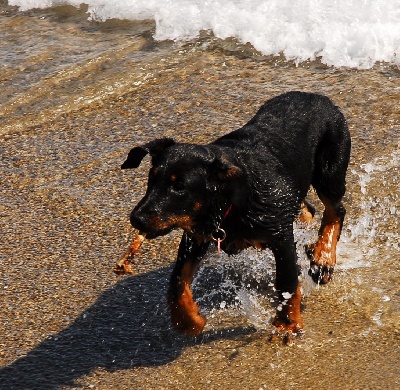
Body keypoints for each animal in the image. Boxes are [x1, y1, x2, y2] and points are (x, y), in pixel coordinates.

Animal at [121, 91, 350, 342]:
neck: (225, 202)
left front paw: (286, 325)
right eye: (151, 178)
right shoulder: (197, 234)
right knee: (308, 207)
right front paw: (188, 321)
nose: (137, 219)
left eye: (179, 186)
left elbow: (286, 281)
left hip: (330, 169)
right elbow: (176, 282)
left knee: (335, 210)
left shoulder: (280, 237)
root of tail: (318, 97)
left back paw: (323, 256)